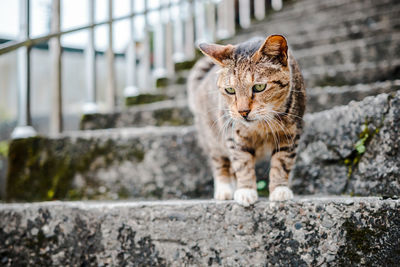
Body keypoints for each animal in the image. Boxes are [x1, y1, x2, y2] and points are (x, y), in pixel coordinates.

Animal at [188, 35, 306, 207]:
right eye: (230, 90)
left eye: (259, 87)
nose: (243, 112)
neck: (262, 126)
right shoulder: (234, 136)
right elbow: (242, 163)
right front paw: (245, 191)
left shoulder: (291, 134)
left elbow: (282, 162)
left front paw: (280, 189)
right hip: (212, 138)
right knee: (221, 164)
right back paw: (225, 190)